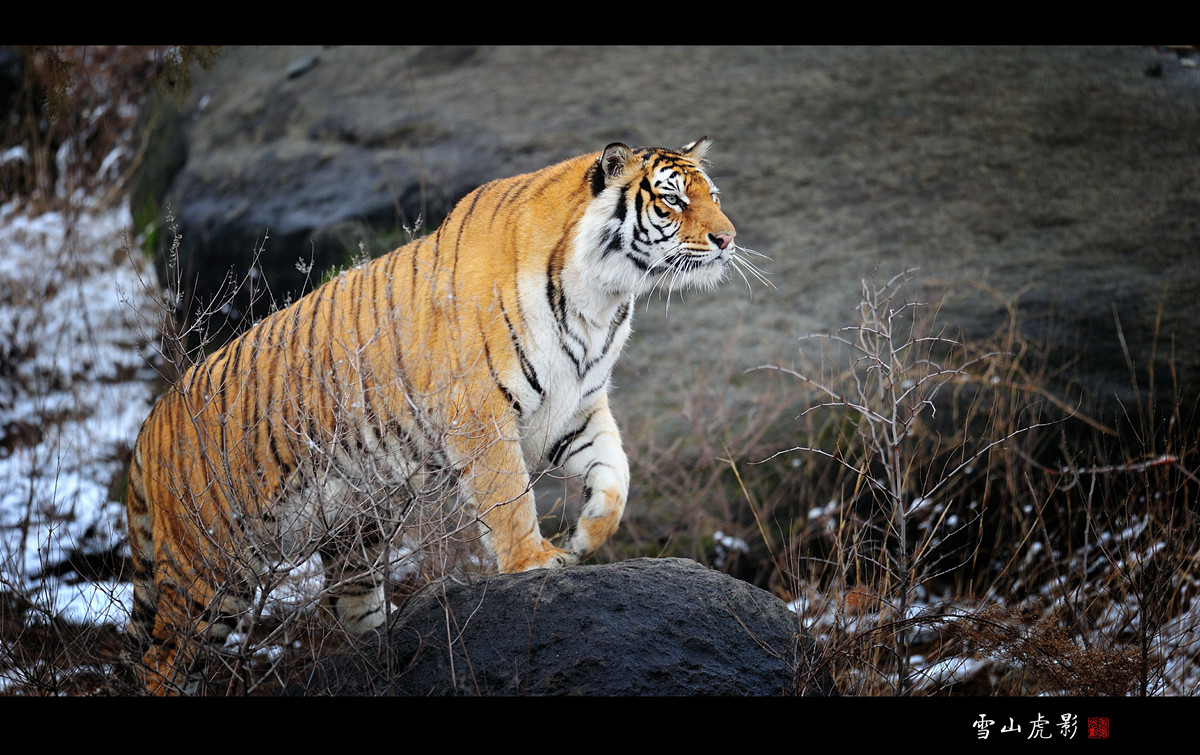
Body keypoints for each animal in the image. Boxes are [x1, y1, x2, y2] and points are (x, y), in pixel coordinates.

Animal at [126, 136, 753, 696]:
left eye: (714, 195)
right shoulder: (480, 413)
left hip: (352, 535)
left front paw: (580, 540)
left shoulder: (575, 409)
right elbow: (511, 499)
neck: (600, 301)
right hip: (209, 572)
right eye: (672, 200)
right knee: (161, 664)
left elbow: (616, 482)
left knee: (350, 608)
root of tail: (148, 425)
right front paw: (535, 561)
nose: (727, 238)